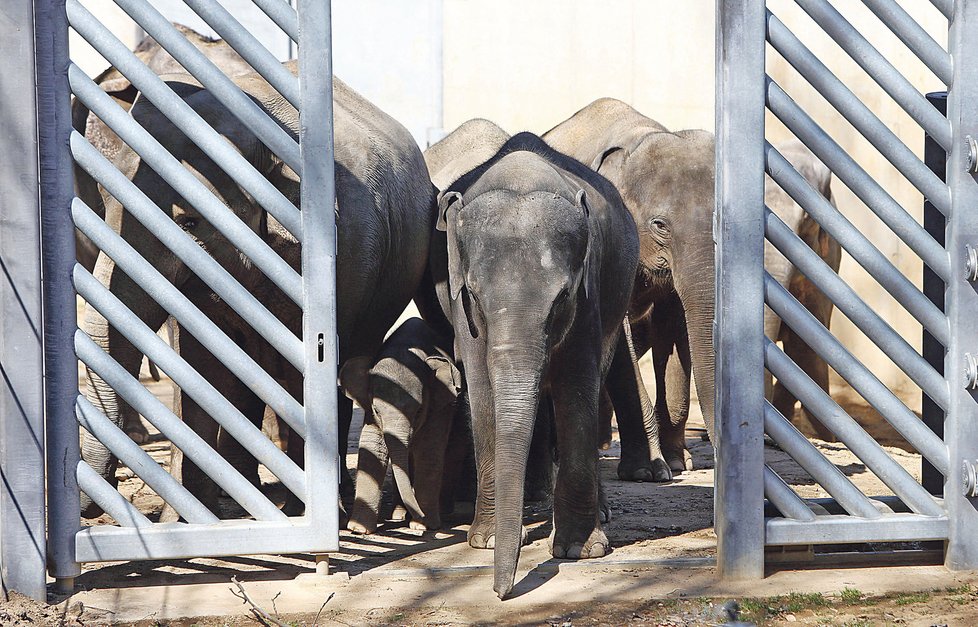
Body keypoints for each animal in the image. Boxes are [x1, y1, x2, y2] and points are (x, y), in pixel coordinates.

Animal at [81, 60, 434, 520]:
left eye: (189, 222)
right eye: (104, 202)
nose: (97, 500)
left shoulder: (343, 252)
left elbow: (303, 367)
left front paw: (301, 514)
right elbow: (200, 365)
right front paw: (188, 518)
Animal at [342, 318, 464, 536]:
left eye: (418, 411)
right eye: (376, 410)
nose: (419, 514)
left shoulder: (439, 406)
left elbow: (429, 449)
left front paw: (423, 525)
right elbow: (372, 448)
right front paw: (358, 529)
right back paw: (398, 515)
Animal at [436, 131, 640, 600]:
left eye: (562, 297)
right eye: (475, 295)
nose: (501, 592)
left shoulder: (588, 295)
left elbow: (577, 388)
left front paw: (580, 551)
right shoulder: (463, 313)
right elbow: (482, 393)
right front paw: (486, 540)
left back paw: (600, 515)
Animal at [540, 98, 840, 472]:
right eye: (660, 225)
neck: (642, 136)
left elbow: (677, 329)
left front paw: (678, 462)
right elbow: (624, 340)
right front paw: (650, 471)